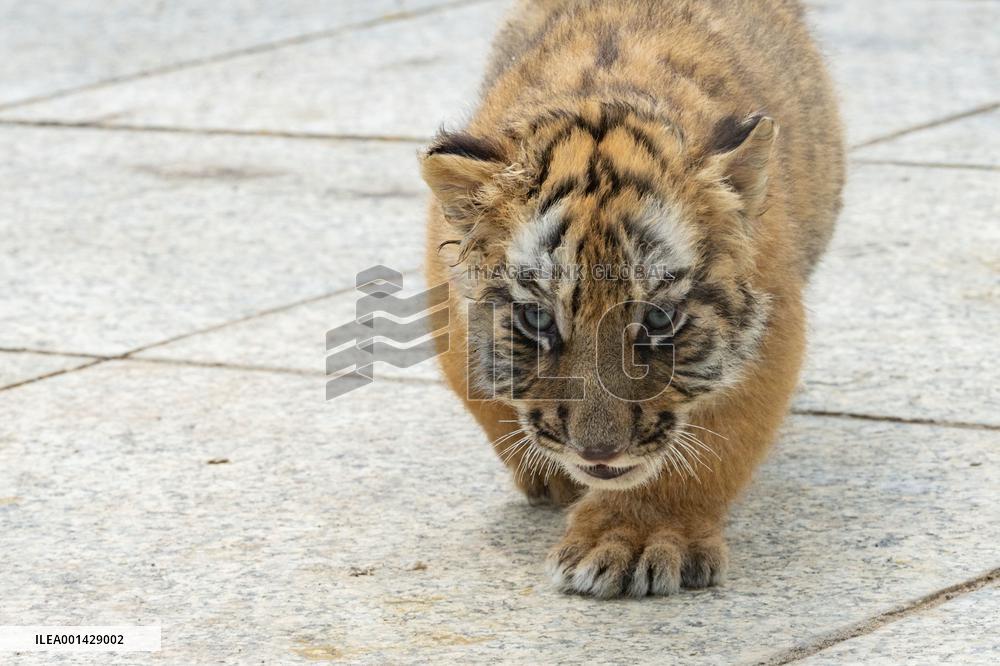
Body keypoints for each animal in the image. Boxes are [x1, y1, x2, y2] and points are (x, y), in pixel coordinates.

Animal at [421, 0, 844, 598]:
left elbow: (709, 446)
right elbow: (483, 392)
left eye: (659, 319)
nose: (597, 452)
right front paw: (553, 477)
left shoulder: (771, 326)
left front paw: (632, 540)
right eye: (537, 320)